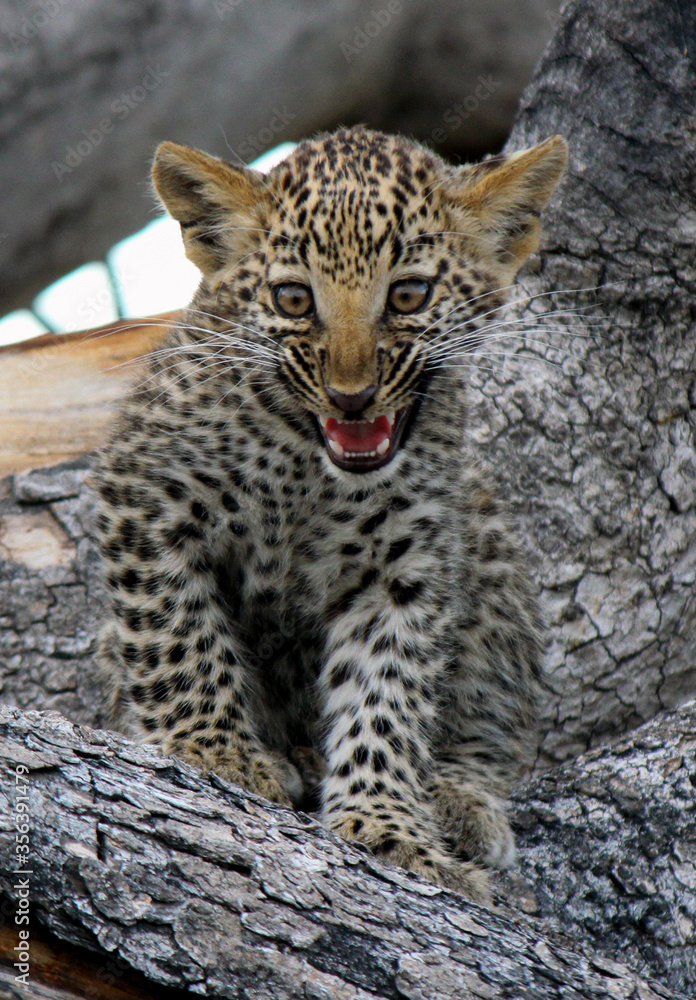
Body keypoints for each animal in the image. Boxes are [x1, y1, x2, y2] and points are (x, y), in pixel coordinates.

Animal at [92, 125, 567, 903]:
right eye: (293, 298)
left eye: (408, 293)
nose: (351, 396)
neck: (309, 473)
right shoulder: (148, 494)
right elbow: (175, 638)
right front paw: (216, 749)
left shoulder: (405, 569)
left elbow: (385, 698)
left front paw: (390, 827)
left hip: (490, 550)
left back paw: (455, 801)